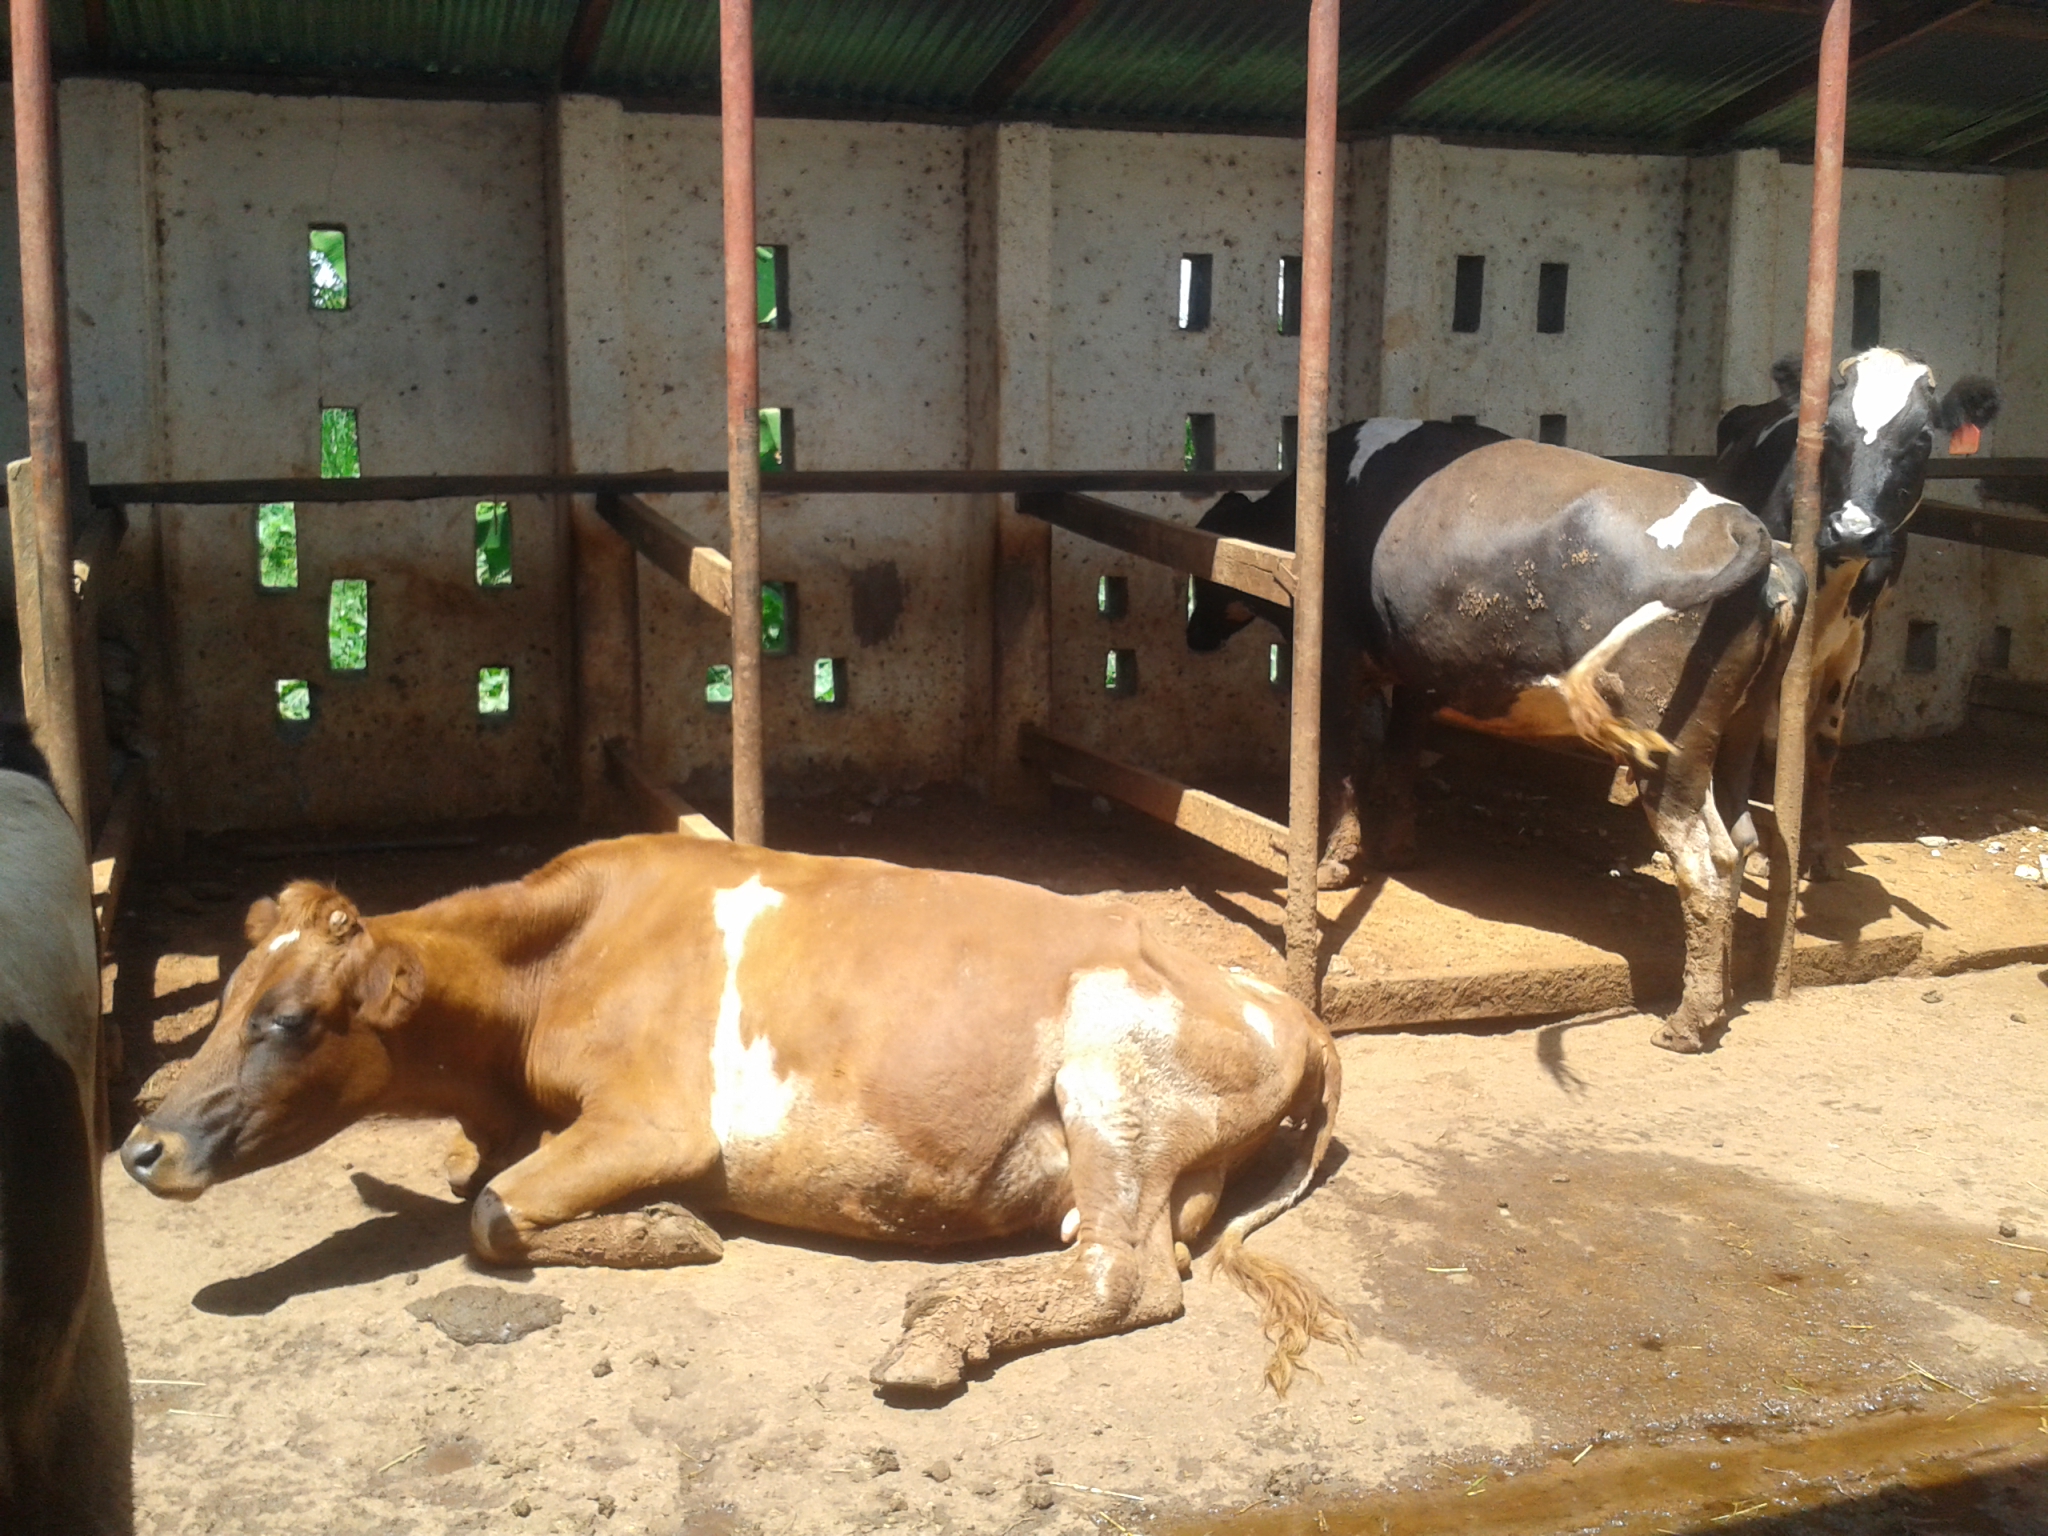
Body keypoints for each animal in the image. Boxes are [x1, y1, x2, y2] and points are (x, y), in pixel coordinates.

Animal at [119, 835, 1351, 1400]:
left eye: (288, 1020)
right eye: (221, 1001)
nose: (140, 1145)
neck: (561, 959)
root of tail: (1283, 1000)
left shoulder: (658, 1126)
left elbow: (493, 1214)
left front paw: (666, 1230)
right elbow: (478, 1180)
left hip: (1112, 1078)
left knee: (1123, 1277)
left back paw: (942, 1325)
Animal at [1196, 421, 1802, 1056]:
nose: (1194, 633)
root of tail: (1743, 526)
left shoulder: (1337, 659)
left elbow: (1343, 762)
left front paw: (1332, 863)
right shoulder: (1422, 670)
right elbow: (1398, 754)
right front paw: (1398, 849)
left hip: (1667, 745)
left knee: (1705, 864)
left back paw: (1690, 1022)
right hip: (1734, 737)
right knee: (1739, 843)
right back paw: (1722, 993)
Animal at [1695, 348, 1998, 876]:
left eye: (1922, 439)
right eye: (1829, 432)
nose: (1853, 531)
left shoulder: (1859, 636)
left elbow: (1822, 741)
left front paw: (1816, 848)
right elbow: (1769, 733)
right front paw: (1767, 850)